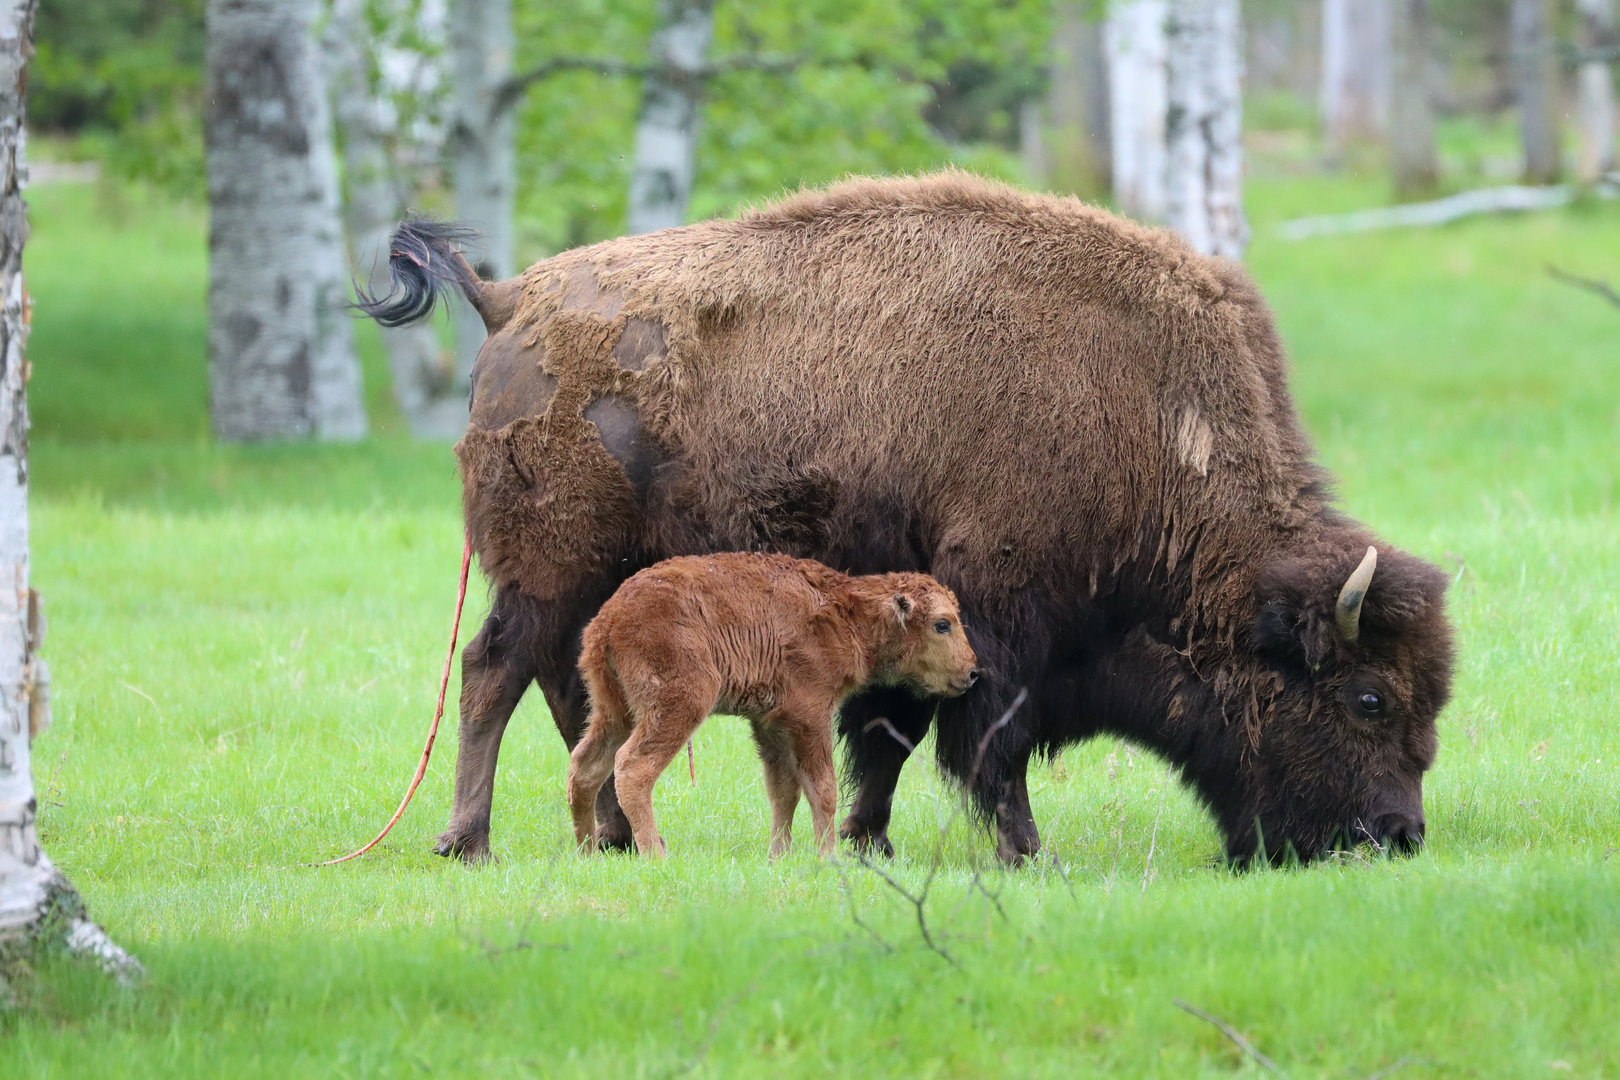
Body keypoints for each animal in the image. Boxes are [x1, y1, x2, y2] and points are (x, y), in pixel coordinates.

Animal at [358, 172, 1455, 866]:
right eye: (1368, 699)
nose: (1398, 836)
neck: (1149, 417)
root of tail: (513, 301)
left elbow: (886, 735)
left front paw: (867, 841)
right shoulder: (1000, 618)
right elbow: (985, 744)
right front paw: (1025, 856)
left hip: (590, 583)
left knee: (567, 688)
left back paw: (613, 839)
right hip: (546, 568)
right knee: (494, 672)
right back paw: (467, 842)